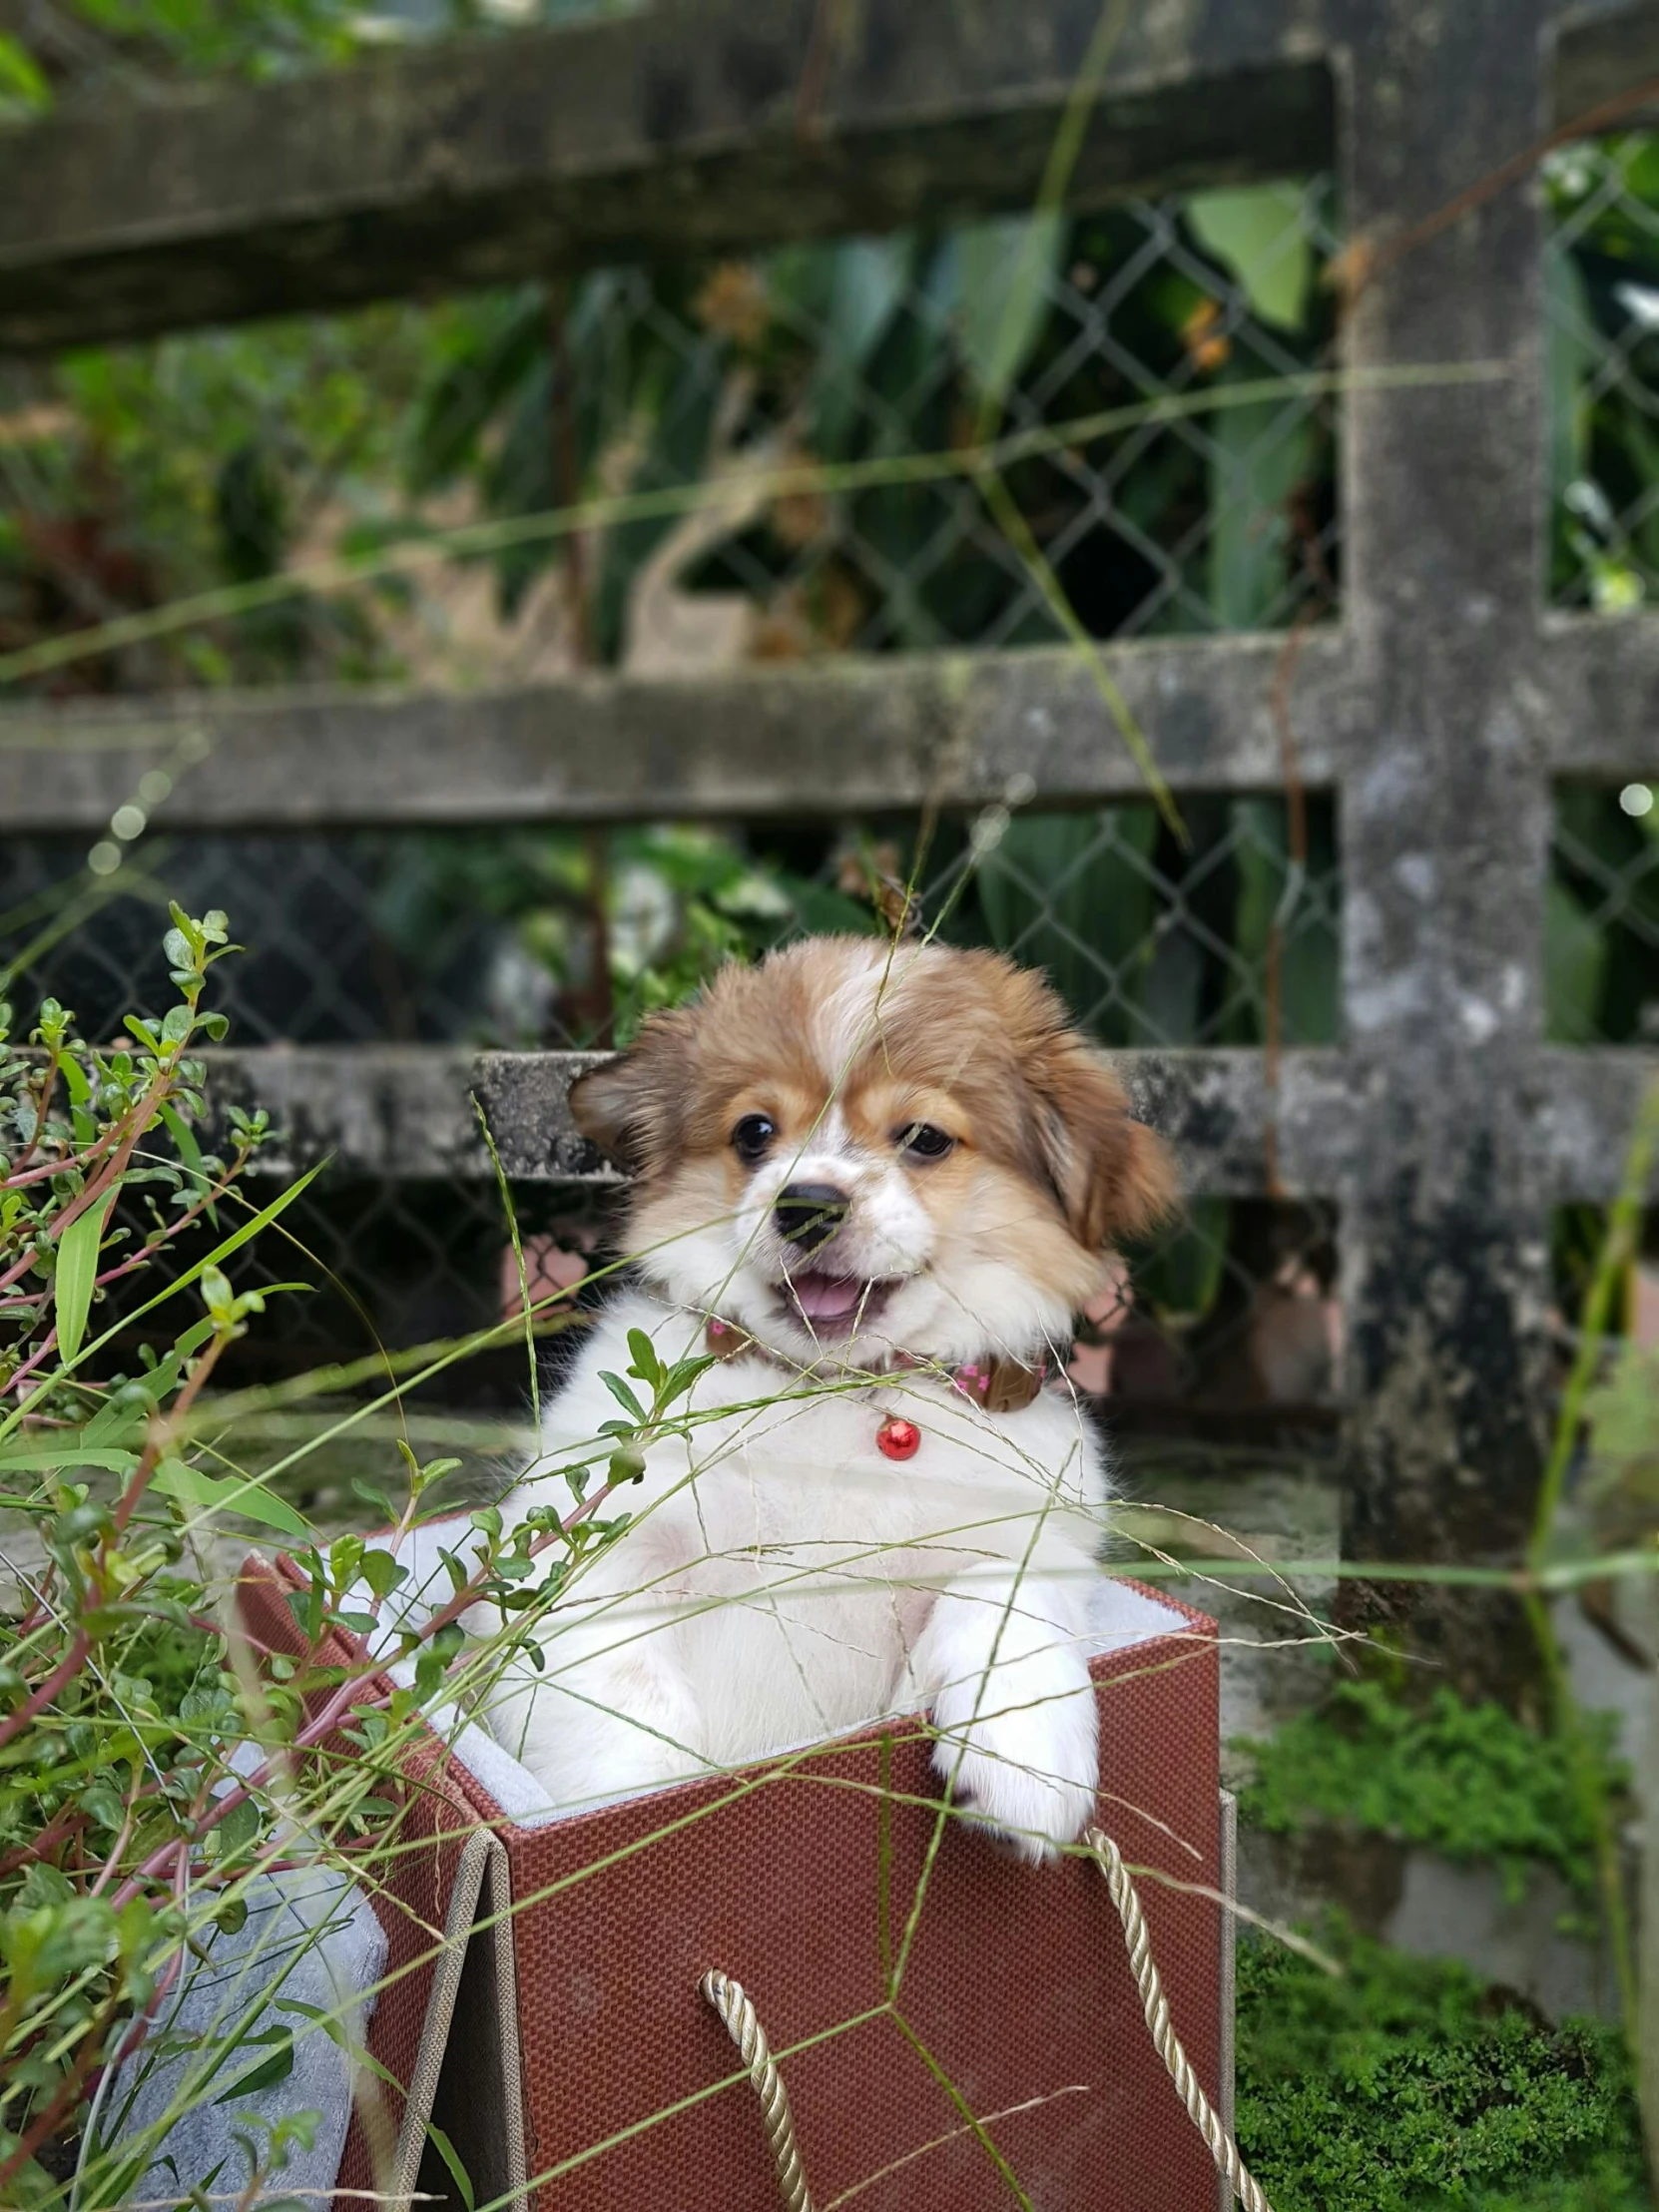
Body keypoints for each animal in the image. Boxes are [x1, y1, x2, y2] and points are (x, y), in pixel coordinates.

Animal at [484, 924, 1185, 1858]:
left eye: (923, 1138)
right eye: (754, 1132)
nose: (806, 1204)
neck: (832, 1393)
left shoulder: (1034, 1537)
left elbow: (1008, 1600)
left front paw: (1025, 1753)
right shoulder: (590, 1554)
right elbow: (618, 1704)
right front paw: (623, 1821)